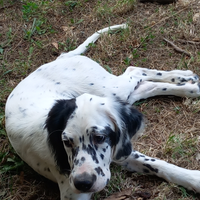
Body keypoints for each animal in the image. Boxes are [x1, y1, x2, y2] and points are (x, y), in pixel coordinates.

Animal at [4, 24, 200, 199]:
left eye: (99, 137)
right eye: (66, 142)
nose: (83, 183)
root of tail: (59, 58)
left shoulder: (120, 148)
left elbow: (157, 163)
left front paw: (192, 177)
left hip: (110, 89)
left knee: (135, 71)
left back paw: (184, 77)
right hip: (115, 93)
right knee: (143, 82)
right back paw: (190, 86)